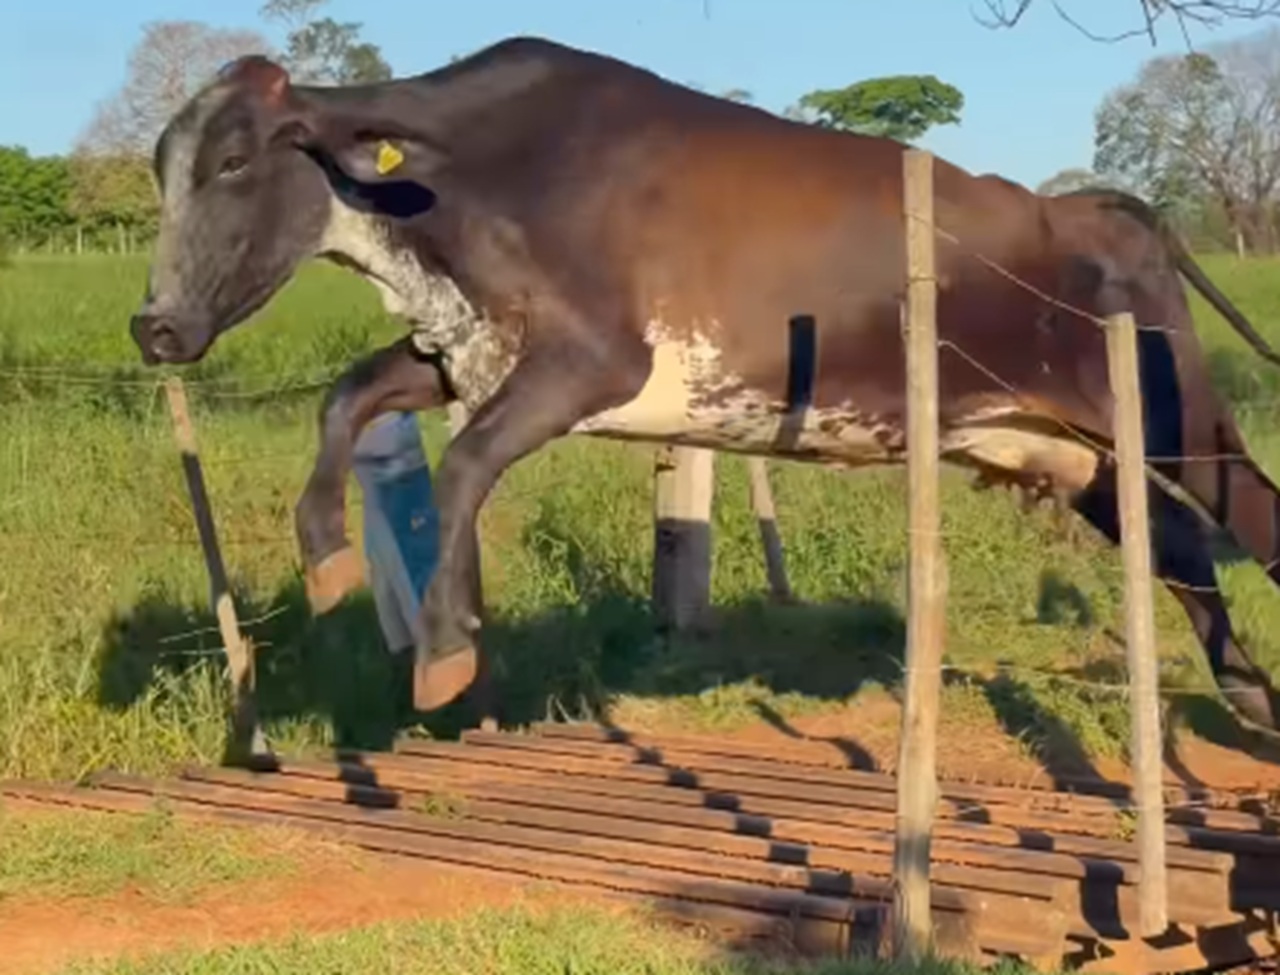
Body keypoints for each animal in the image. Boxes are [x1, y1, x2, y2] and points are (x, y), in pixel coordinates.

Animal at [130, 36, 1280, 742]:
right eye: (161, 167)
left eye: (232, 162)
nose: (154, 324)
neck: (467, 179)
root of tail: (1104, 209)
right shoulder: (464, 352)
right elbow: (345, 398)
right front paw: (325, 555)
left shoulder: (597, 362)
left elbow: (460, 466)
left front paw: (447, 650)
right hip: (1067, 450)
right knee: (1179, 550)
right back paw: (1250, 695)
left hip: (1178, 421)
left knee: (1245, 519)